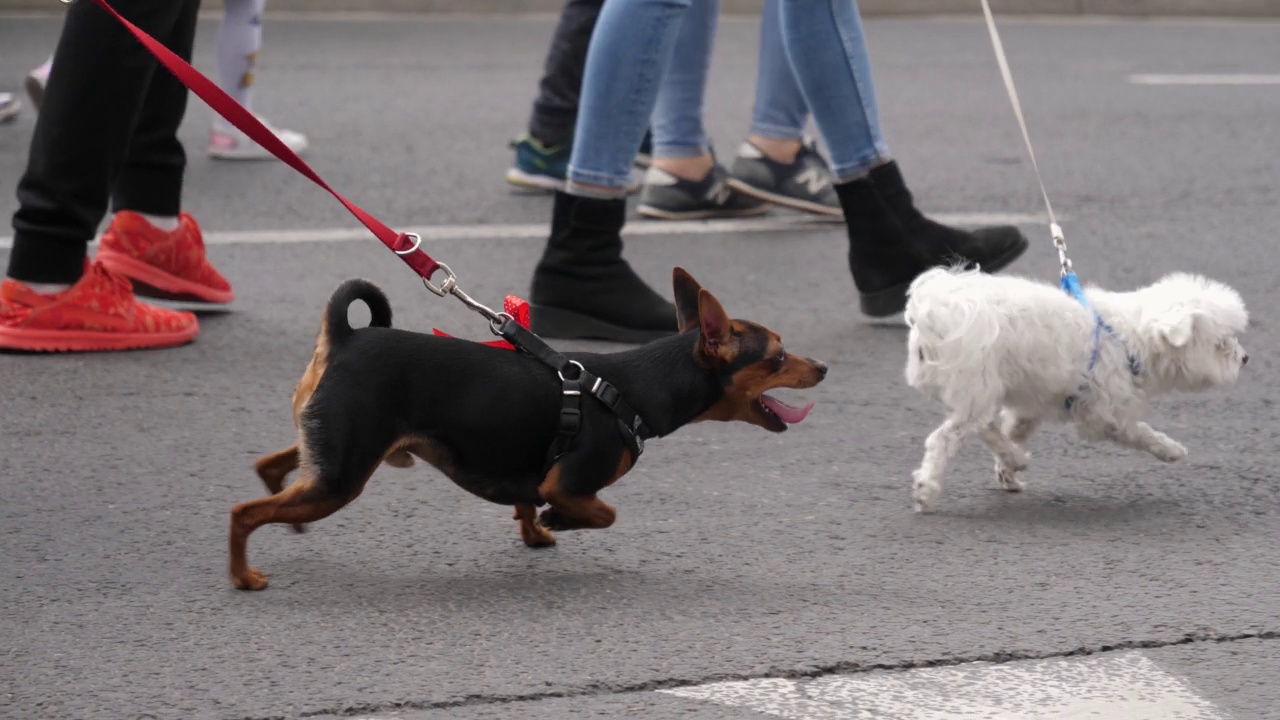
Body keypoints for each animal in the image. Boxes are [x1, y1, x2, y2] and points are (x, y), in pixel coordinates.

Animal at [232, 266, 829, 586]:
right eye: (777, 358)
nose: (823, 367)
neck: (635, 386)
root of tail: (346, 336)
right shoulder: (564, 481)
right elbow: (603, 512)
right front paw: (558, 521)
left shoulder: (530, 470)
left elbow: (525, 502)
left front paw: (537, 531)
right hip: (343, 475)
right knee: (244, 513)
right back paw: (243, 576)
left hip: (333, 448)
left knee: (272, 466)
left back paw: (283, 514)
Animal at [906, 265, 1244, 509]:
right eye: (1221, 344)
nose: (1245, 358)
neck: (1128, 338)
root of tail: (940, 314)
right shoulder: (1102, 413)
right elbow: (1138, 432)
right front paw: (1169, 449)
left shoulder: (1034, 403)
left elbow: (1015, 428)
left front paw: (1006, 471)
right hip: (976, 386)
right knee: (946, 438)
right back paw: (927, 488)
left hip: (979, 390)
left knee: (985, 427)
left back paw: (1014, 458)